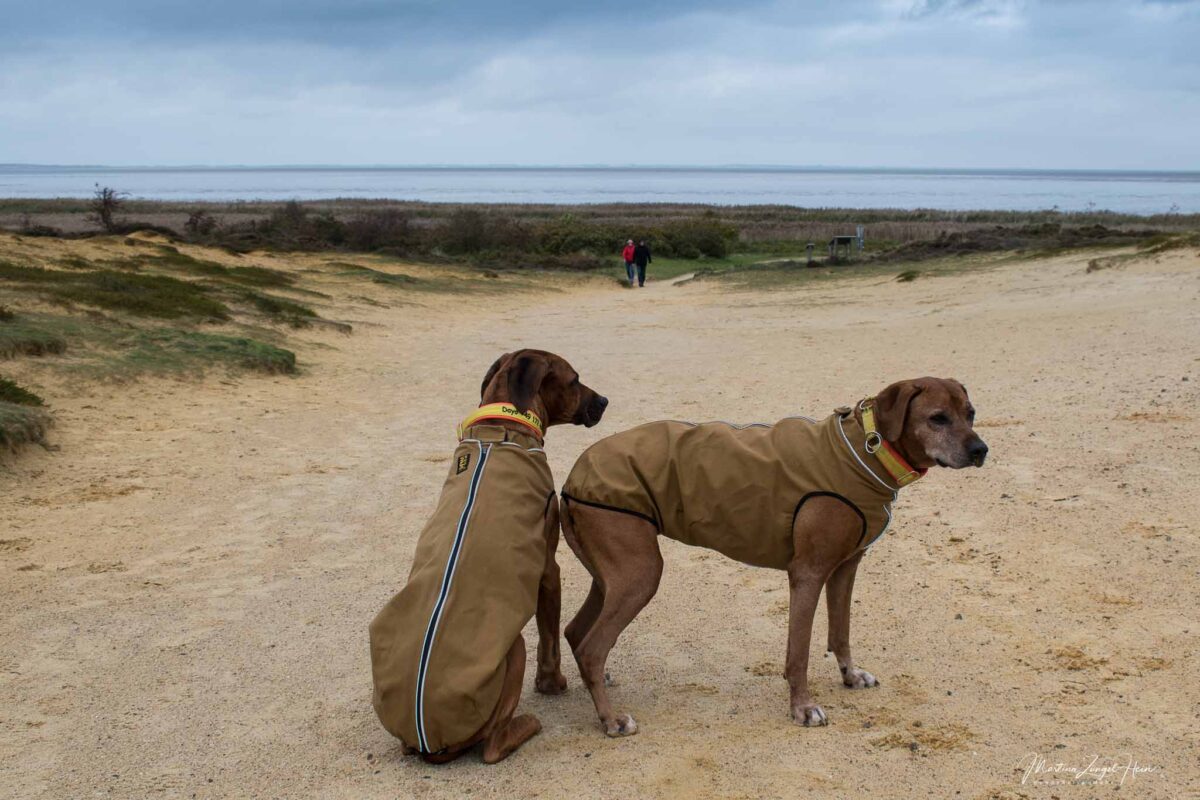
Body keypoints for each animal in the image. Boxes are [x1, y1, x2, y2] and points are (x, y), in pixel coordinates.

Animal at [367, 350, 609, 762]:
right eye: (575, 380)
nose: (605, 401)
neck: (502, 427)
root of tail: (428, 741)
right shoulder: (548, 569)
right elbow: (550, 638)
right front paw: (552, 684)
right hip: (514, 649)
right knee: (492, 747)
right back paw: (527, 725)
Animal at [556, 379, 988, 734]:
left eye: (970, 413)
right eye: (937, 418)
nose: (981, 450)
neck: (867, 451)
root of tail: (573, 477)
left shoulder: (845, 568)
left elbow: (840, 631)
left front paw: (850, 675)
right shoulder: (808, 574)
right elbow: (799, 654)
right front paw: (803, 708)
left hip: (612, 577)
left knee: (576, 633)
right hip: (641, 573)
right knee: (592, 647)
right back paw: (611, 719)